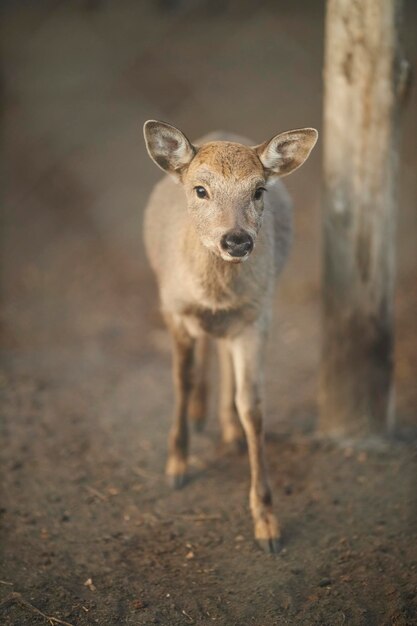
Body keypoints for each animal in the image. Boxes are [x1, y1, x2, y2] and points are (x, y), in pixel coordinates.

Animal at [142, 119, 316, 548]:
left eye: (258, 190)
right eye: (200, 189)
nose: (237, 240)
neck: (213, 294)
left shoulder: (257, 316)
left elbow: (252, 406)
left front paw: (267, 523)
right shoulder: (173, 308)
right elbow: (181, 380)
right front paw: (176, 466)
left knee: (221, 351)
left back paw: (226, 427)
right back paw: (200, 414)